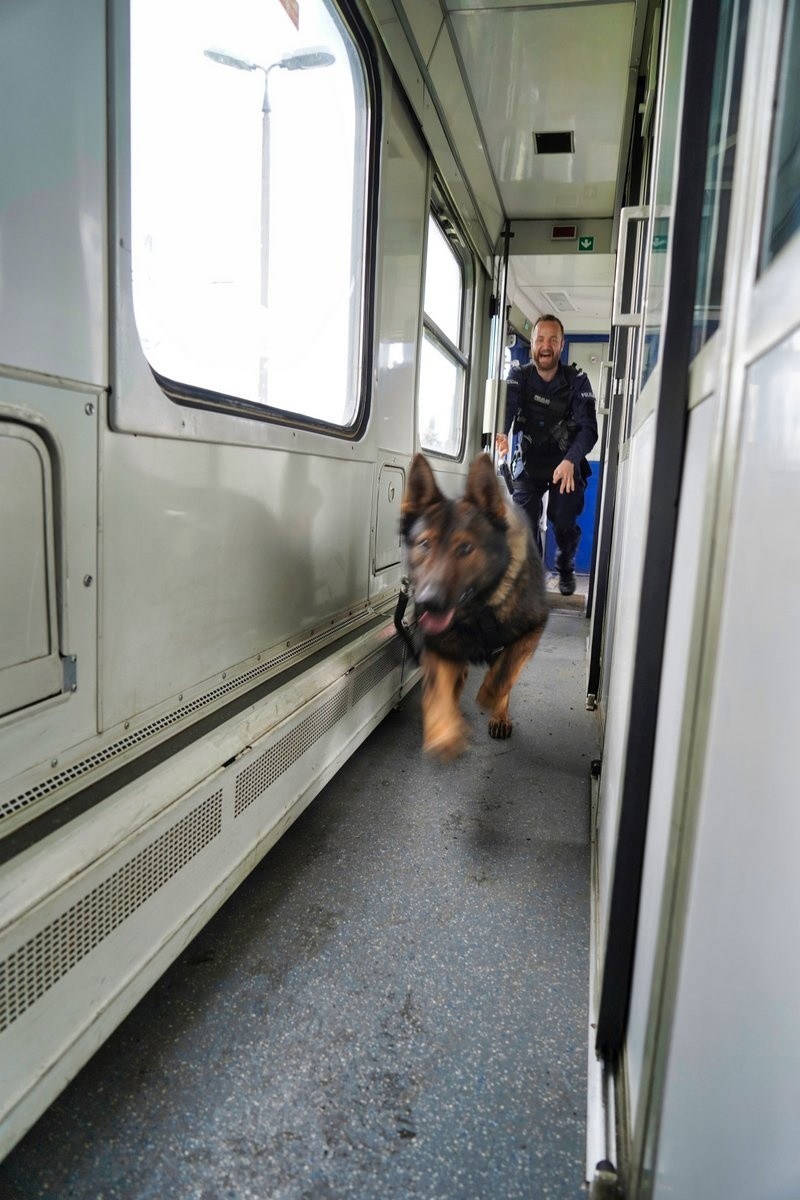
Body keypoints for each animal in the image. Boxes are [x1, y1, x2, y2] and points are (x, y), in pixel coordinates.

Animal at [400, 451, 551, 758]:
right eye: (424, 544)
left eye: (466, 548)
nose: (428, 602)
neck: (479, 610)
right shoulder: (439, 645)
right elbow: (439, 688)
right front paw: (443, 730)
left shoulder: (532, 630)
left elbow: (504, 673)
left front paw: (490, 698)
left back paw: (498, 714)